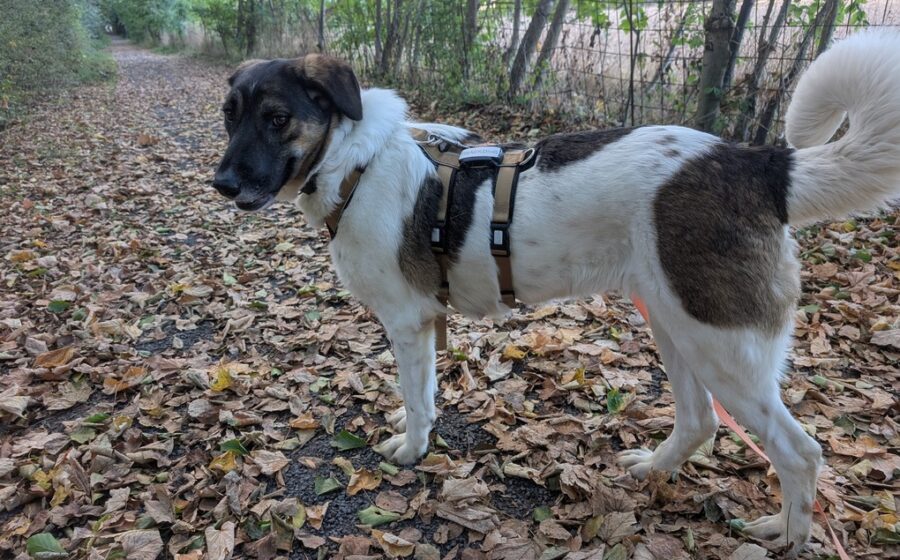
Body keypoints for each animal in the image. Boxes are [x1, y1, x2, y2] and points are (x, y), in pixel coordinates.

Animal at [212, 31, 900, 553]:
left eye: (277, 119)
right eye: (230, 115)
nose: (221, 184)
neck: (356, 159)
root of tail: (756, 165)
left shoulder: (406, 323)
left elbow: (417, 403)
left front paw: (411, 451)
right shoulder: (425, 324)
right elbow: (425, 396)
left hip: (721, 347)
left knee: (799, 453)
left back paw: (787, 535)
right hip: (675, 326)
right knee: (702, 421)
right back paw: (654, 471)